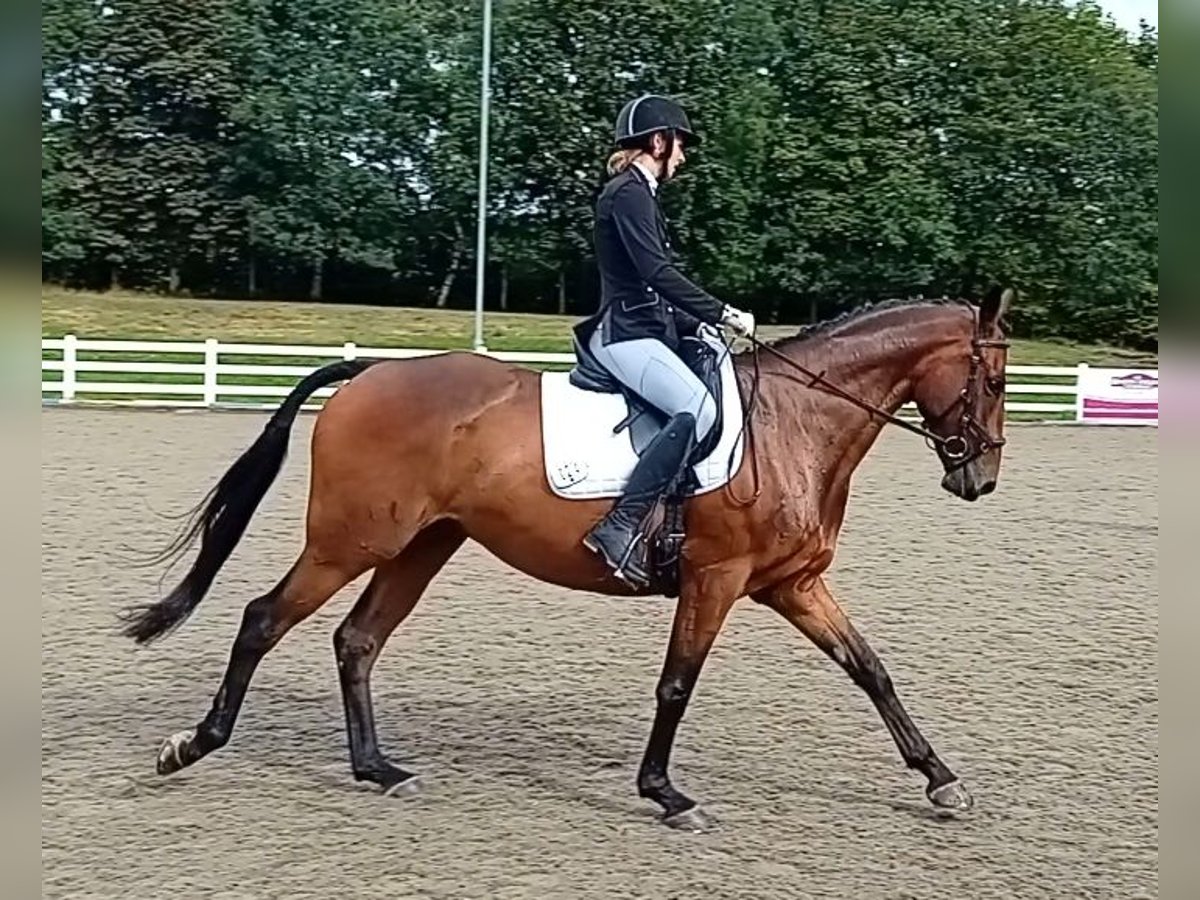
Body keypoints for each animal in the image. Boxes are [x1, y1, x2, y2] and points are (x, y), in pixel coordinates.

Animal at [119, 286, 1012, 830]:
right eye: (997, 381)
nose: (980, 478)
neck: (795, 422)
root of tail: (371, 372)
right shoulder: (716, 579)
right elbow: (677, 684)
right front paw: (666, 794)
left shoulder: (793, 584)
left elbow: (871, 671)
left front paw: (941, 779)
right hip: (350, 541)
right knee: (262, 620)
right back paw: (191, 746)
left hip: (421, 545)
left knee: (356, 640)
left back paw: (379, 769)